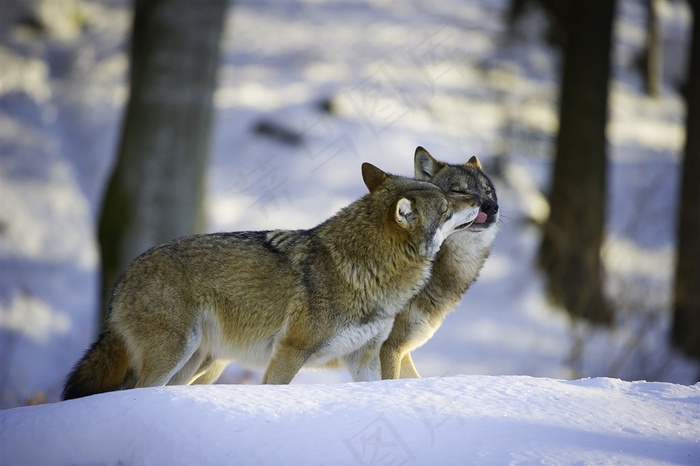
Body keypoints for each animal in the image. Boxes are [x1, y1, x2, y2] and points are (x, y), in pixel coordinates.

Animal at [61, 162, 482, 398]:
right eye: (448, 202)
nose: (485, 202)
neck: (364, 269)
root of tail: (125, 275)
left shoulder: (366, 357)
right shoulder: (291, 352)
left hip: (197, 365)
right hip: (176, 355)